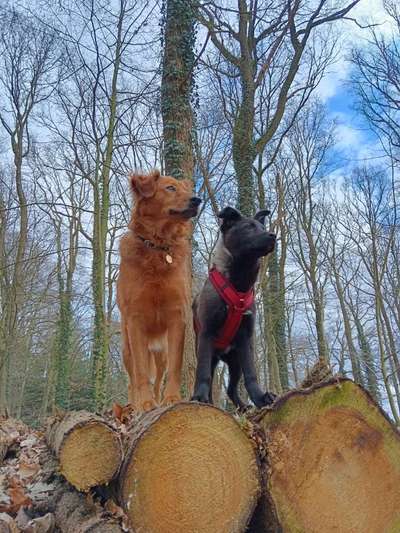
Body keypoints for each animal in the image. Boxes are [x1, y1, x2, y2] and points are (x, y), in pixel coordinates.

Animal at [117, 170, 202, 412]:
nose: (197, 200)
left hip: (160, 352)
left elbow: (175, 366)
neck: (157, 247)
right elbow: (141, 374)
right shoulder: (135, 320)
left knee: (159, 376)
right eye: (170, 188)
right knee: (133, 379)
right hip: (127, 347)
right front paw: (145, 403)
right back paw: (136, 404)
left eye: (188, 189)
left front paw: (172, 398)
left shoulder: (177, 316)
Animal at [192, 207, 276, 408]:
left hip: (235, 360)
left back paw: (243, 406)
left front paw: (260, 398)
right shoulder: (206, 334)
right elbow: (203, 373)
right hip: (210, 353)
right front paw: (199, 397)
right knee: (211, 377)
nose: (273, 236)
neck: (239, 285)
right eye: (248, 227)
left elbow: (251, 374)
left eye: (263, 227)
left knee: (231, 389)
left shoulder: (245, 339)